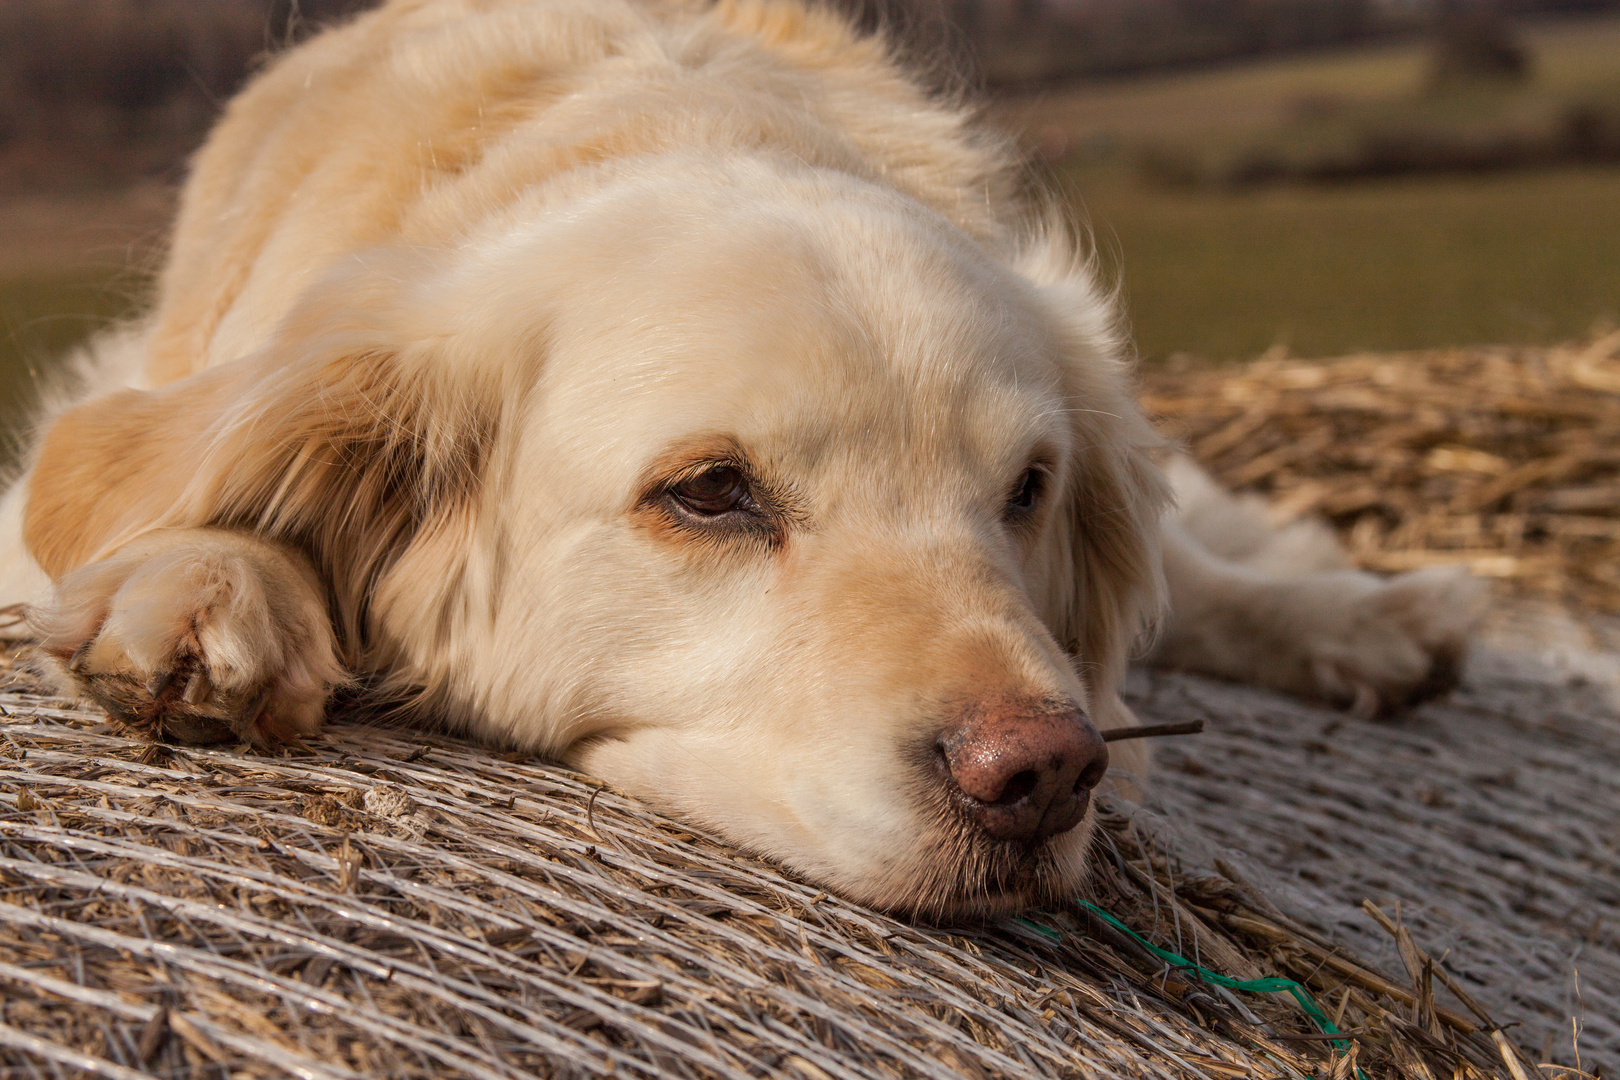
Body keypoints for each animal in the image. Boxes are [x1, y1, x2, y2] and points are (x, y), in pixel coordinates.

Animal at [0, 0, 1483, 919]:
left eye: (1026, 492)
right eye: (711, 493)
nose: (1048, 774)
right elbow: (169, 468)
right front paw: (202, 586)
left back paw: (1373, 620)